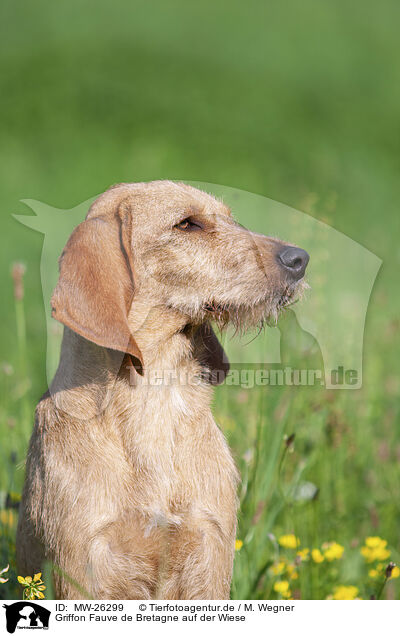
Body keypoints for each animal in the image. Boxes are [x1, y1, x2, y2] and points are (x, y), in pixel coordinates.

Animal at [15, 181, 310, 600]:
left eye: (230, 218)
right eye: (187, 224)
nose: (300, 259)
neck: (155, 398)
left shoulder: (210, 552)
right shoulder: (83, 568)